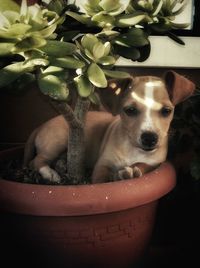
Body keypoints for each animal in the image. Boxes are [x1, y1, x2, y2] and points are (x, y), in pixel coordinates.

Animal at [23, 70, 195, 184]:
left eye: (166, 111)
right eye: (130, 110)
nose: (149, 139)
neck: (133, 149)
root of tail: (41, 126)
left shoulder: (155, 163)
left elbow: (143, 165)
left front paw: (132, 170)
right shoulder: (102, 166)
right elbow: (103, 179)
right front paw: (118, 175)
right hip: (57, 141)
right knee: (36, 161)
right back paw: (50, 174)